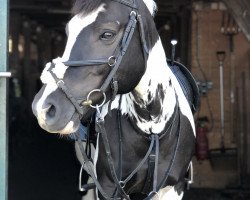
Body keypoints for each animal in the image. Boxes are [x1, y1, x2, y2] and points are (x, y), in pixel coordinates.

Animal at [31, 0, 195, 199]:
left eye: (107, 34)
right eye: (69, 32)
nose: (44, 107)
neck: (151, 128)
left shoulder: (173, 188)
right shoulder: (108, 188)